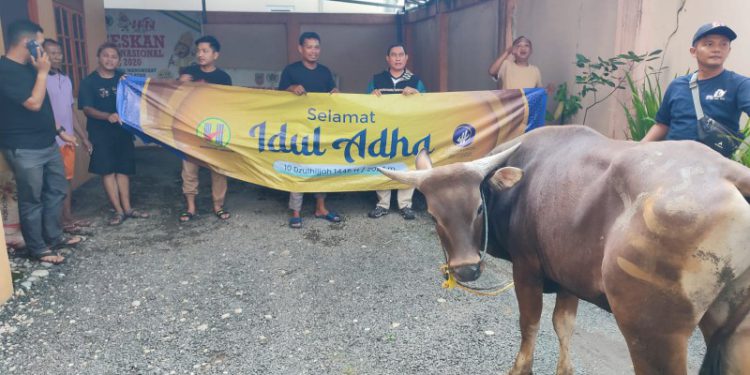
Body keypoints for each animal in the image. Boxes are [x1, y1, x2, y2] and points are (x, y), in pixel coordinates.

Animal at [378, 127, 750, 375]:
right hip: (734, 337)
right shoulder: (569, 280)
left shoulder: (527, 270)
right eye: (433, 214)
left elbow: (529, 323)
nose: (467, 269)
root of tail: (729, 173)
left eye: (478, 208)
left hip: (653, 335)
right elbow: (563, 325)